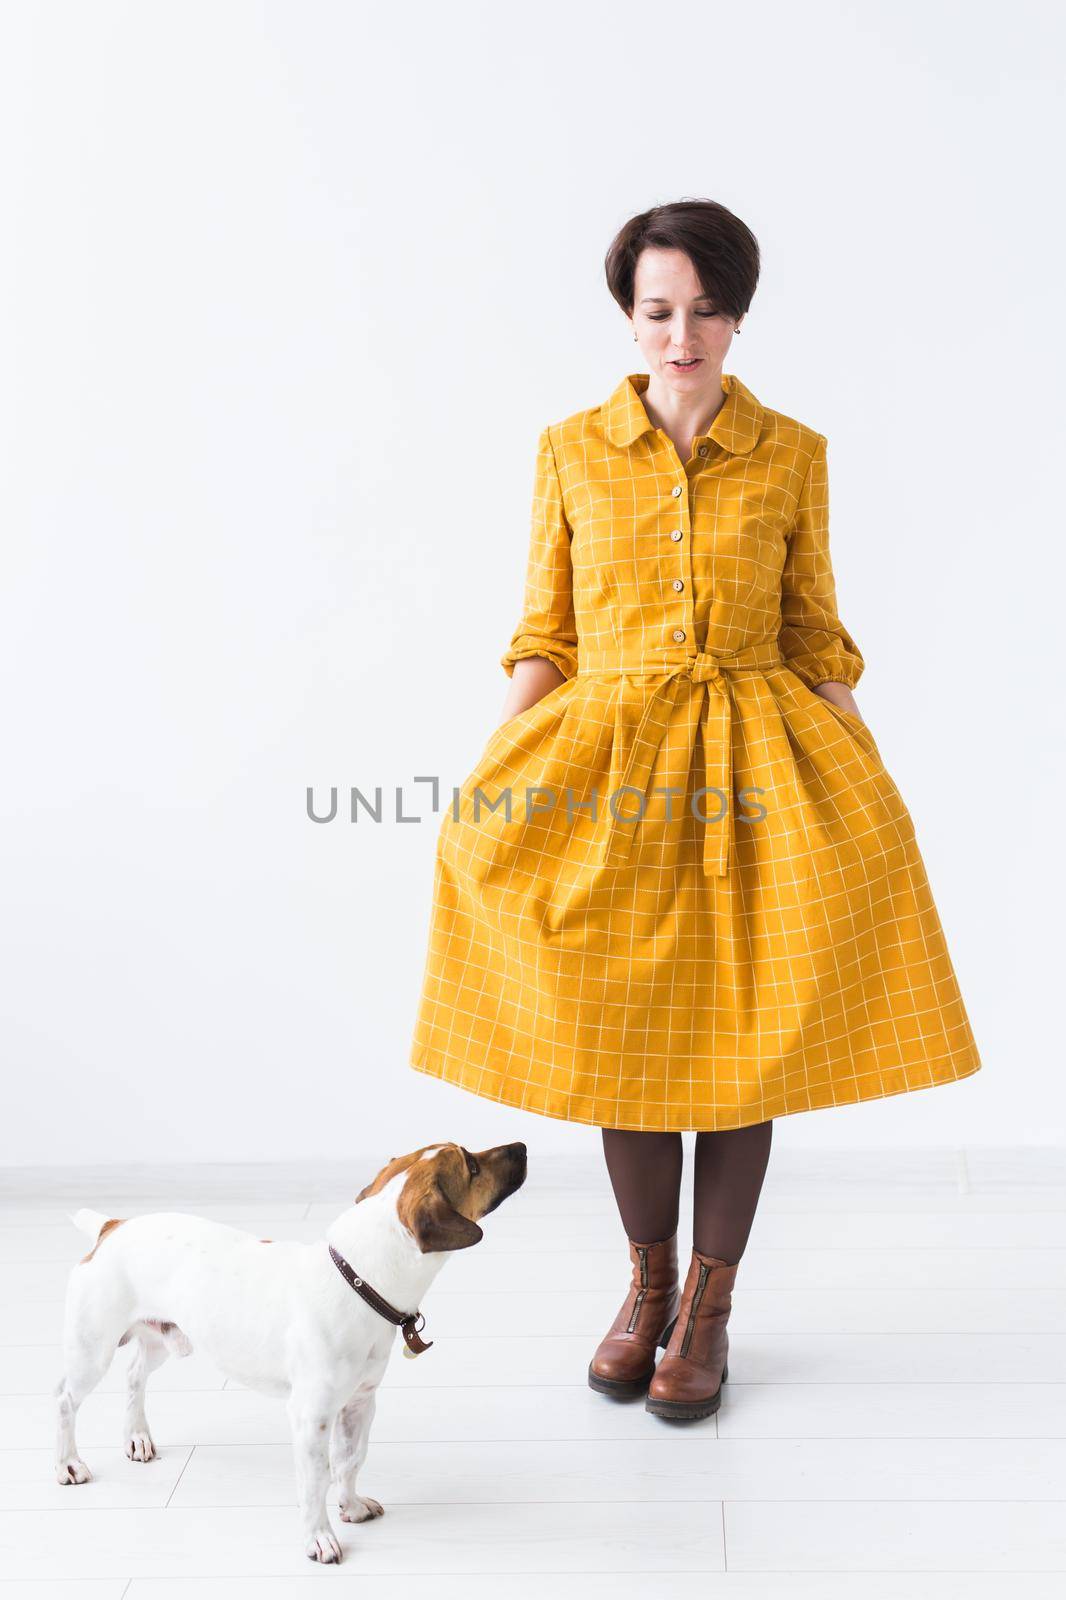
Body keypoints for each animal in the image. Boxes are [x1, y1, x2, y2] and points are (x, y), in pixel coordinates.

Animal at [54, 1139, 528, 1561]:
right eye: (472, 1165)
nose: (522, 1146)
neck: (358, 1279)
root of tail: (112, 1226)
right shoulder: (310, 1415)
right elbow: (317, 1479)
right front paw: (319, 1537)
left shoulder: (359, 1403)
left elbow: (350, 1461)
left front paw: (351, 1506)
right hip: (93, 1348)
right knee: (65, 1399)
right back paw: (68, 1464)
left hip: (163, 1338)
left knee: (134, 1374)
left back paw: (137, 1436)